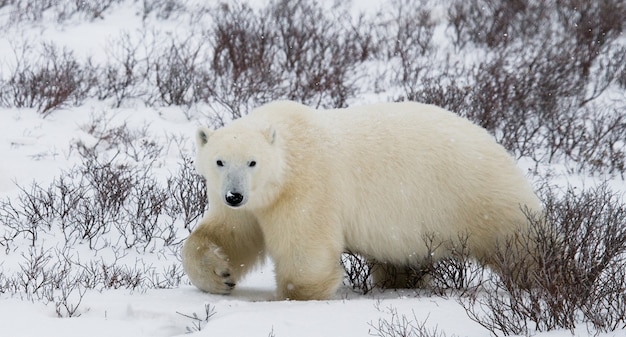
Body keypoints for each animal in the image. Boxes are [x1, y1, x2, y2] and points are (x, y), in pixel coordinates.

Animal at [179, 100, 536, 300]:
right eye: (220, 161)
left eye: (252, 162)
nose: (234, 195)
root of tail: (493, 141)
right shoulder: (253, 203)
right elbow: (230, 234)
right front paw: (221, 276)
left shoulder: (307, 185)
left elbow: (304, 246)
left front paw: (297, 296)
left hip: (476, 194)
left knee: (518, 240)